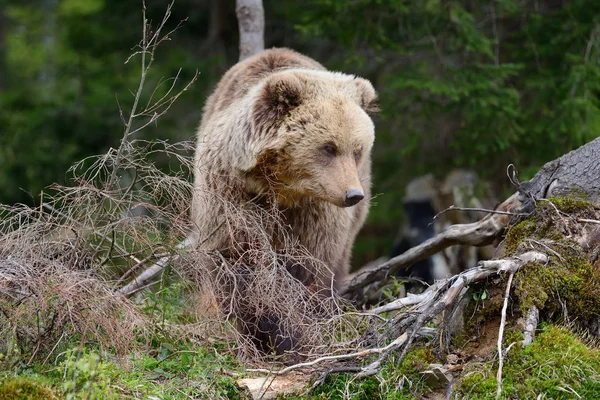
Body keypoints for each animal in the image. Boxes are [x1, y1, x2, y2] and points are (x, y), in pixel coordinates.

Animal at [192, 49, 378, 354]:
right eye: (329, 147)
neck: (281, 189)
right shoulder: (231, 196)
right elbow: (236, 262)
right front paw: (256, 329)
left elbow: (311, 267)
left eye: (357, 149)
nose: (353, 194)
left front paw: (293, 331)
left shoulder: (315, 212)